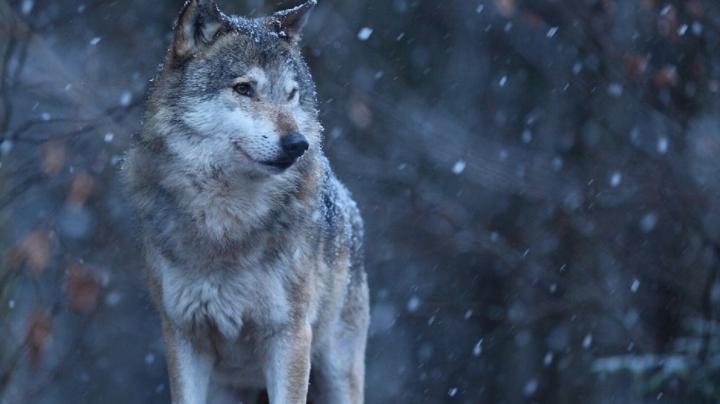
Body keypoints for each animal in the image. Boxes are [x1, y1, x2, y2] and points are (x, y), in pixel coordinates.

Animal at [122, 1, 369, 403]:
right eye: (244, 88)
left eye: (291, 94)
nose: (297, 144)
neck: (226, 222)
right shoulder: (183, 334)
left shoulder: (289, 336)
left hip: (336, 371)